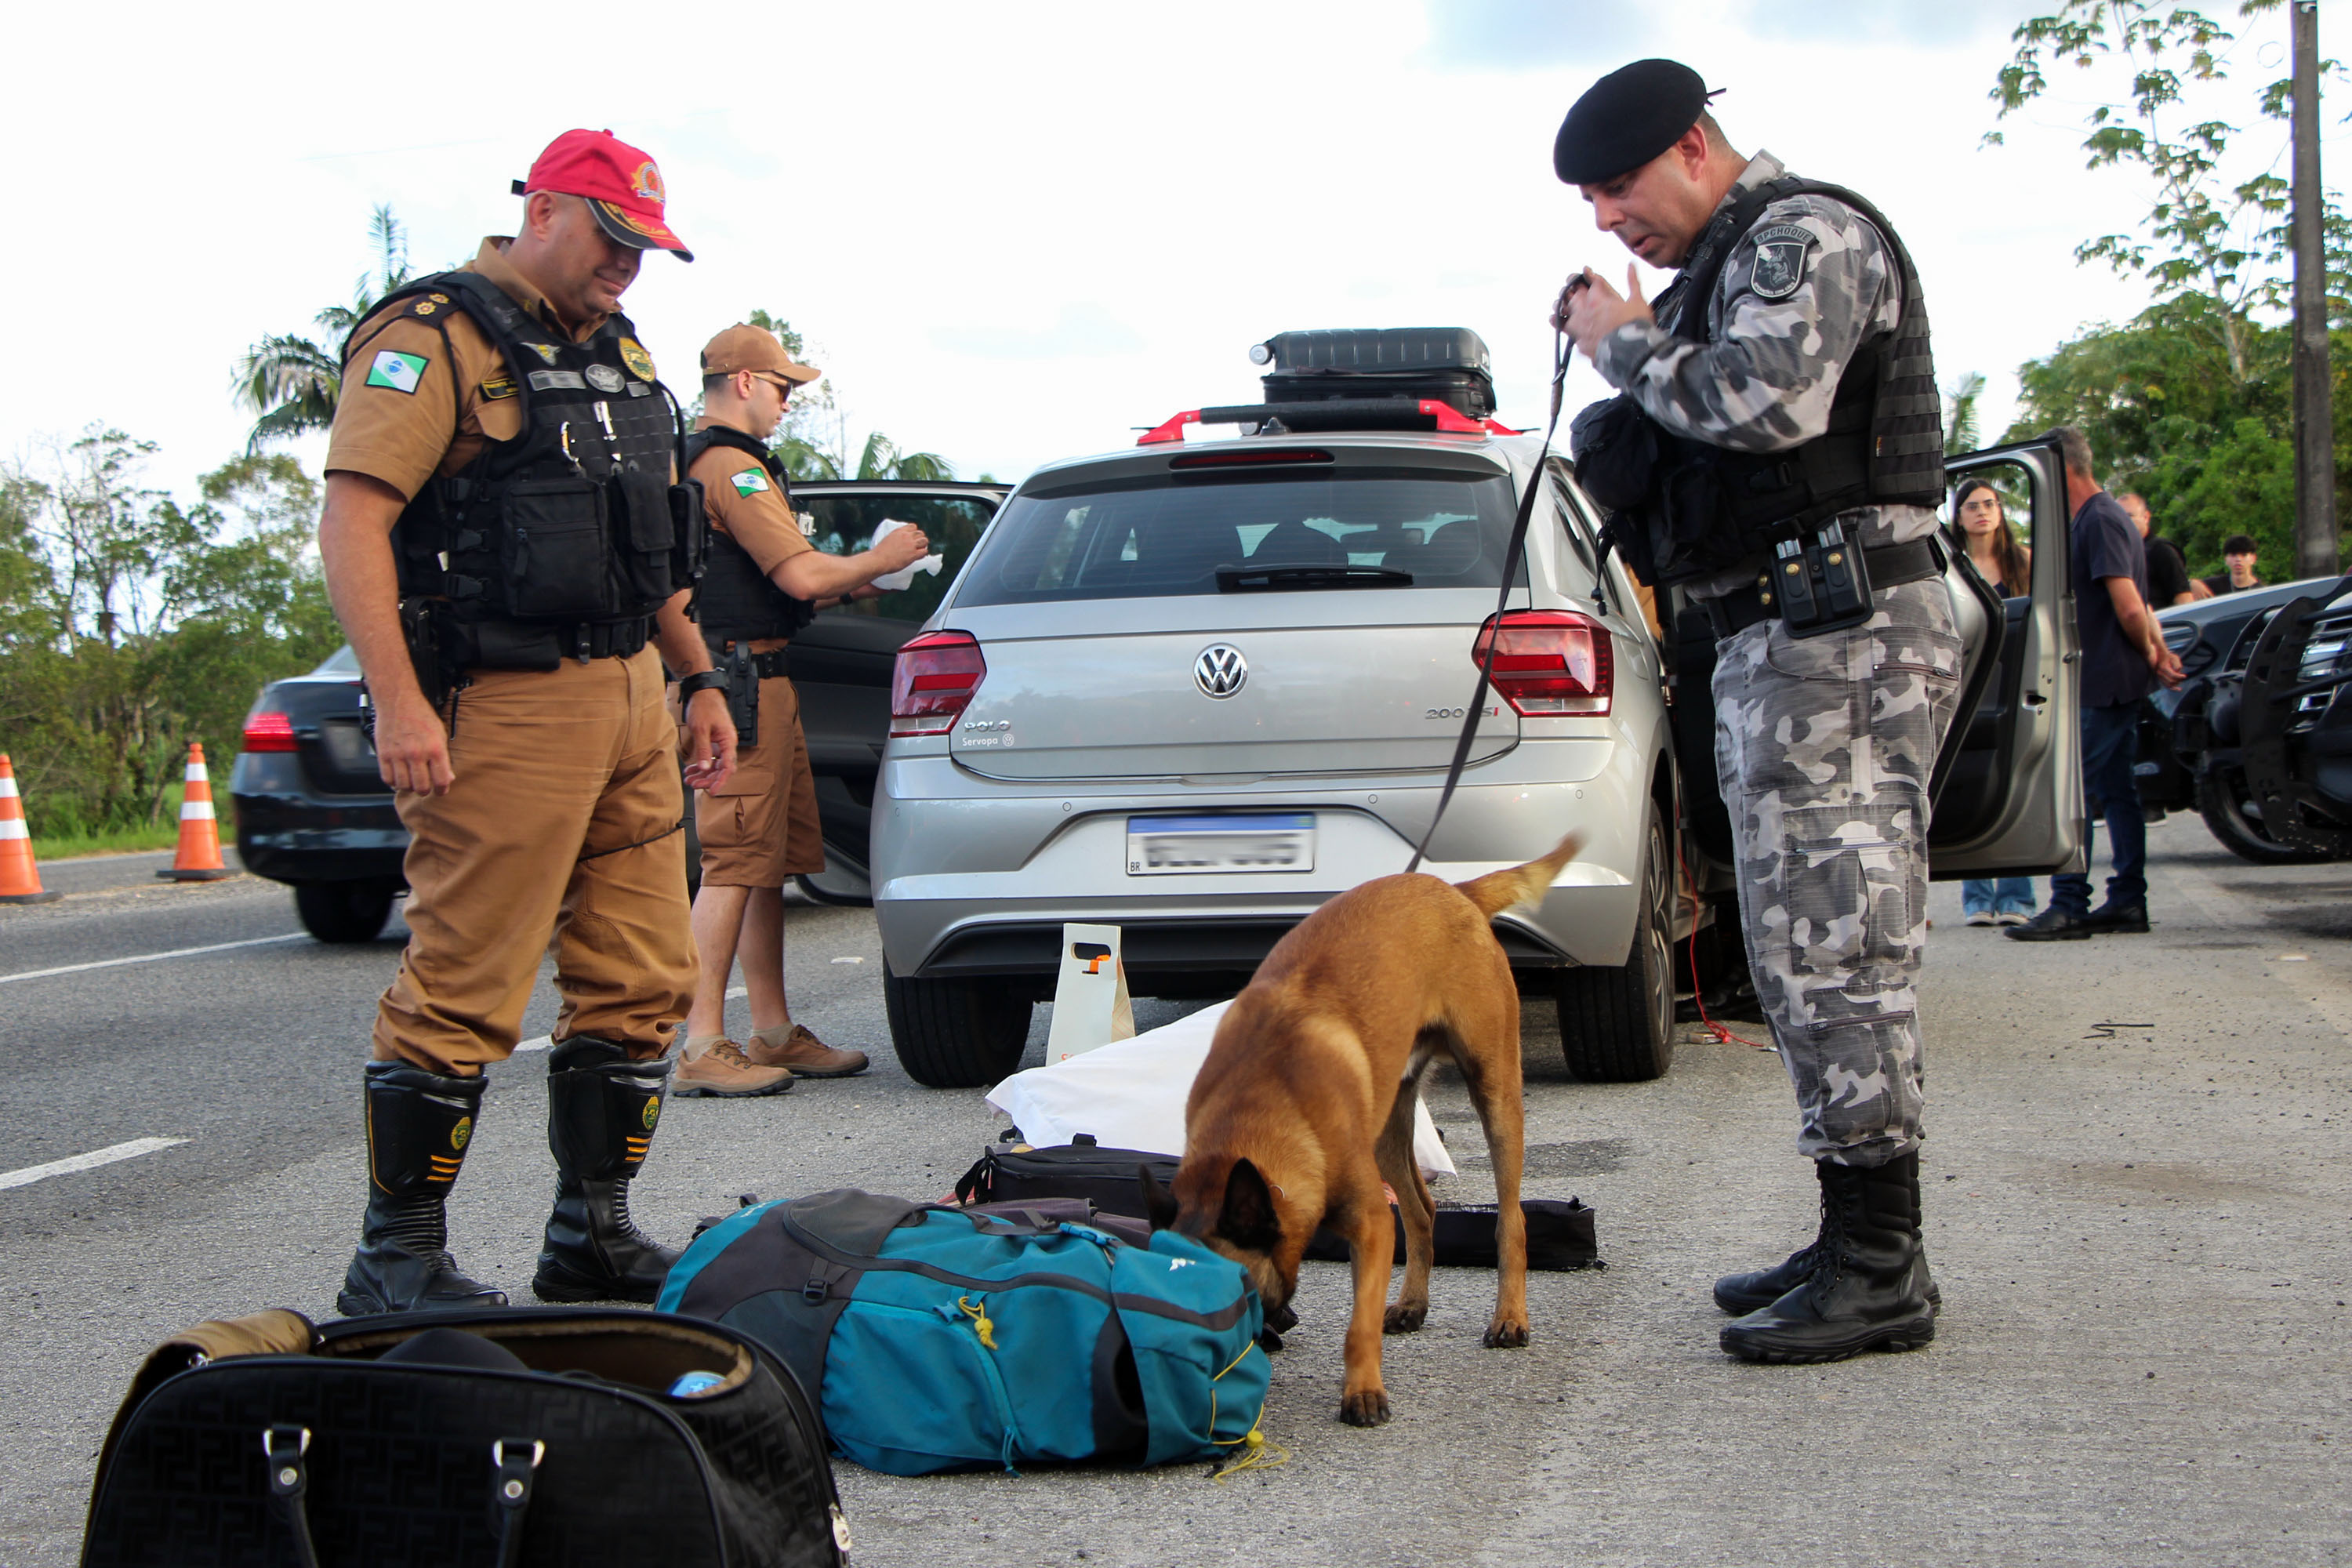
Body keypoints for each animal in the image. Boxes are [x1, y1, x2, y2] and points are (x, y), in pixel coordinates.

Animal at [1138, 832, 1581, 1420]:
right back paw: (1413, 1302)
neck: (1257, 1110)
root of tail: (1454, 890)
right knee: (1422, 1211)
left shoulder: (1371, 1224)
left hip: (1495, 1094)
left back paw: (1509, 1315)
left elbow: (1357, 1328)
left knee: (1510, 1218)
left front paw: (1363, 1393)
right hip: (1390, 1128)